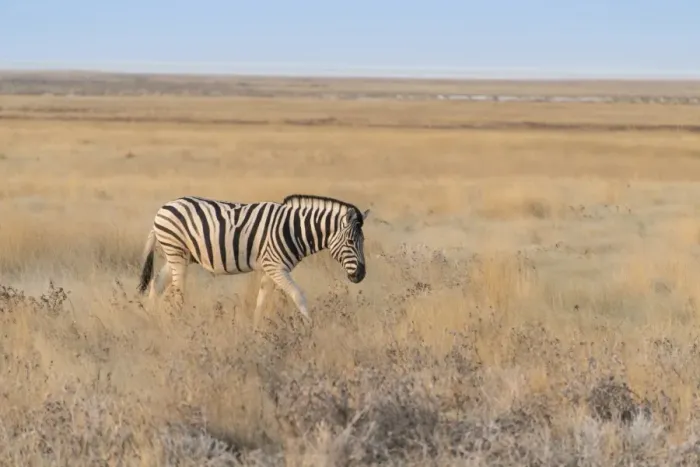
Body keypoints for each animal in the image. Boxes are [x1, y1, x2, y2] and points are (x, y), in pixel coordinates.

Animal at [136, 194, 370, 325]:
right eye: (351, 241)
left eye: (364, 241)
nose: (361, 275)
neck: (294, 229)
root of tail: (162, 208)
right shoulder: (276, 266)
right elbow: (298, 295)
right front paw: (310, 325)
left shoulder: (270, 268)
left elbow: (262, 300)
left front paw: (256, 330)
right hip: (176, 252)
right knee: (177, 293)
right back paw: (178, 321)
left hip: (180, 256)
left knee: (156, 284)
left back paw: (149, 318)